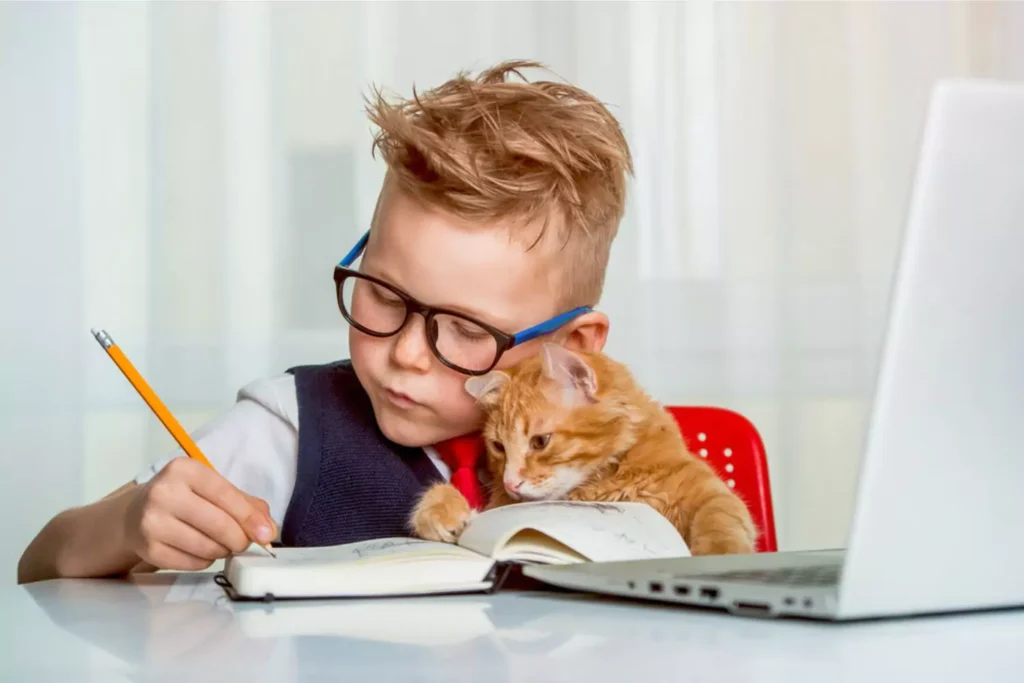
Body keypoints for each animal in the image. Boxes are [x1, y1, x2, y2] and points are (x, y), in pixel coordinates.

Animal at [411, 348, 757, 557]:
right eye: (498, 447)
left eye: (540, 442)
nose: (510, 483)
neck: (601, 484)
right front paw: (440, 514)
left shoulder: (707, 492)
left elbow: (720, 522)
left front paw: (718, 557)